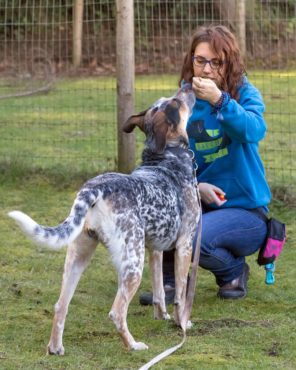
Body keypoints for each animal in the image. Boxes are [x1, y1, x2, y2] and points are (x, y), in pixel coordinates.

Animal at [8, 84, 201, 352]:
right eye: (176, 102)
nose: (188, 85)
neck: (166, 157)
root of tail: (94, 189)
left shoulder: (155, 250)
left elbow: (160, 293)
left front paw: (162, 317)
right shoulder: (184, 245)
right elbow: (181, 296)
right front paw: (182, 324)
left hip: (79, 257)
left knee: (60, 305)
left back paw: (56, 348)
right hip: (132, 264)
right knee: (117, 312)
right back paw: (133, 345)